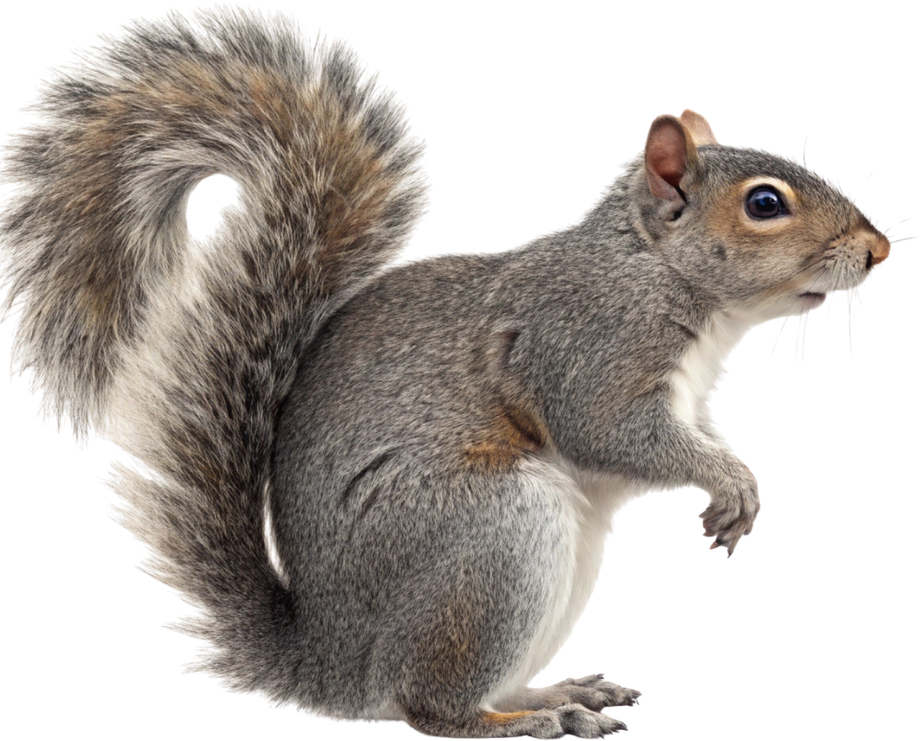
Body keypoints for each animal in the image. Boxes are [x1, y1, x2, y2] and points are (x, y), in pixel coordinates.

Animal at [0, 5, 892, 739]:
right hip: (492, 536)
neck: (658, 268)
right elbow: (609, 430)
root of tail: (332, 658)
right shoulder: (587, 342)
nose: (880, 249)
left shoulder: (686, 392)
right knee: (430, 707)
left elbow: (694, 432)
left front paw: (735, 479)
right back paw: (531, 721)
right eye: (765, 204)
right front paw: (728, 480)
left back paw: (554, 691)